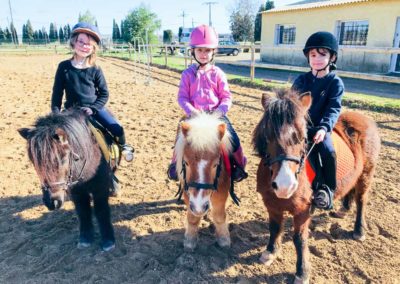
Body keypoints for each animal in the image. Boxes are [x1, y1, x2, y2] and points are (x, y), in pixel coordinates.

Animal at [175, 113, 234, 251]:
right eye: (186, 162)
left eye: (216, 164)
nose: (199, 206)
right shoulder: (188, 192)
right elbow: (192, 218)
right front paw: (190, 241)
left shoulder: (222, 192)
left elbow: (219, 216)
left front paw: (224, 240)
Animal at [253, 91, 382, 284]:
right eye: (268, 136)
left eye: (302, 138)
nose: (285, 186)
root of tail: (364, 118)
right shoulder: (272, 204)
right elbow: (274, 228)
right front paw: (270, 252)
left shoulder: (302, 210)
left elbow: (300, 239)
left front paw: (302, 273)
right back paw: (344, 210)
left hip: (366, 174)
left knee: (361, 200)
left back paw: (359, 230)